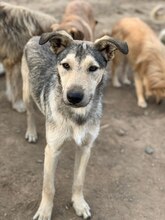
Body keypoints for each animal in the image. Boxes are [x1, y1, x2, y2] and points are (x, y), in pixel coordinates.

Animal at [21, 29, 128, 220]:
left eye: (93, 68)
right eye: (65, 65)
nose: (74, 97)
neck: (77, 116)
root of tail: (36, 36)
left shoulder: (85, 148)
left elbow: (79, 181)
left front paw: (79, 204)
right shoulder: (52, 150)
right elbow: (48, 187)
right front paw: (44, 211)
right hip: (27, 92)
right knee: (30, 112)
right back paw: (31, 132)